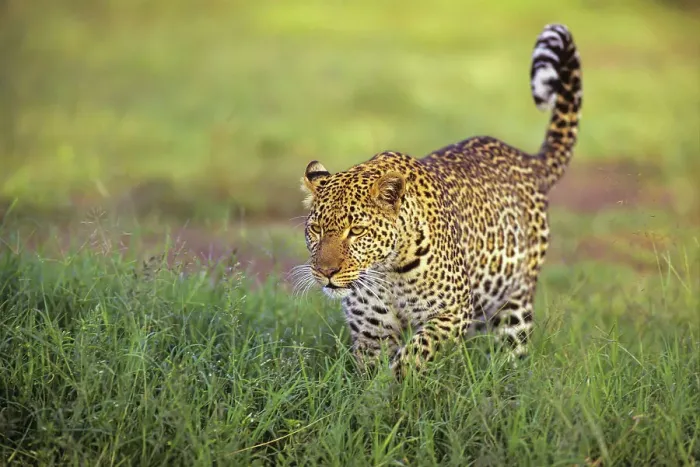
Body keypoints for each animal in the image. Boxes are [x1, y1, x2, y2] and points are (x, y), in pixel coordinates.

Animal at [292, 24, 582, 378]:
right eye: (316, 230)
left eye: (356, 231)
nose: (326, 272)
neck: (386, 270)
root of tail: (528, 159)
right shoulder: (372, 329)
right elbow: (372, 378)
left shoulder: (452, 312)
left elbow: (413, 356)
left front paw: (399, 382)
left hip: (514, 304)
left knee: (511, 352)